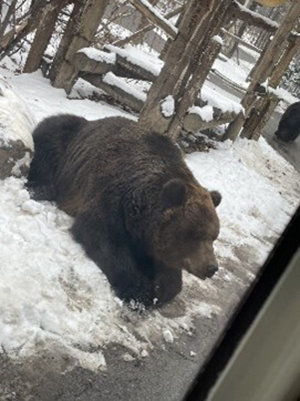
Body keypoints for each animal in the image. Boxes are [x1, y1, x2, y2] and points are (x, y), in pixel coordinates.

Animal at [27, 114, 221, 308]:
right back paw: (41, 188)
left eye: (213, 236)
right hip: (66, 150)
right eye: (195, 234)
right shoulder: (111, 196)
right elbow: (103, 237)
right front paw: (140, 291)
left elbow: (168, 271)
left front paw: (160, 288)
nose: (211, 267)